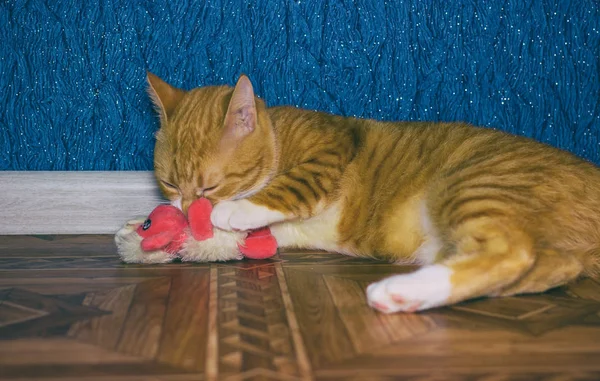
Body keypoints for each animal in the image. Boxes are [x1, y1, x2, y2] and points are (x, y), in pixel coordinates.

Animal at [145, 72, 600, 314]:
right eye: (169, 183)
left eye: (210, 186)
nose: (187, 209)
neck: (279, 137)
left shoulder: (329, 153)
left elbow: (286, 189)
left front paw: (227, 213)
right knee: (544, 267)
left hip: (475, 183)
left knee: (511, 253)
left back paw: (399, 290)